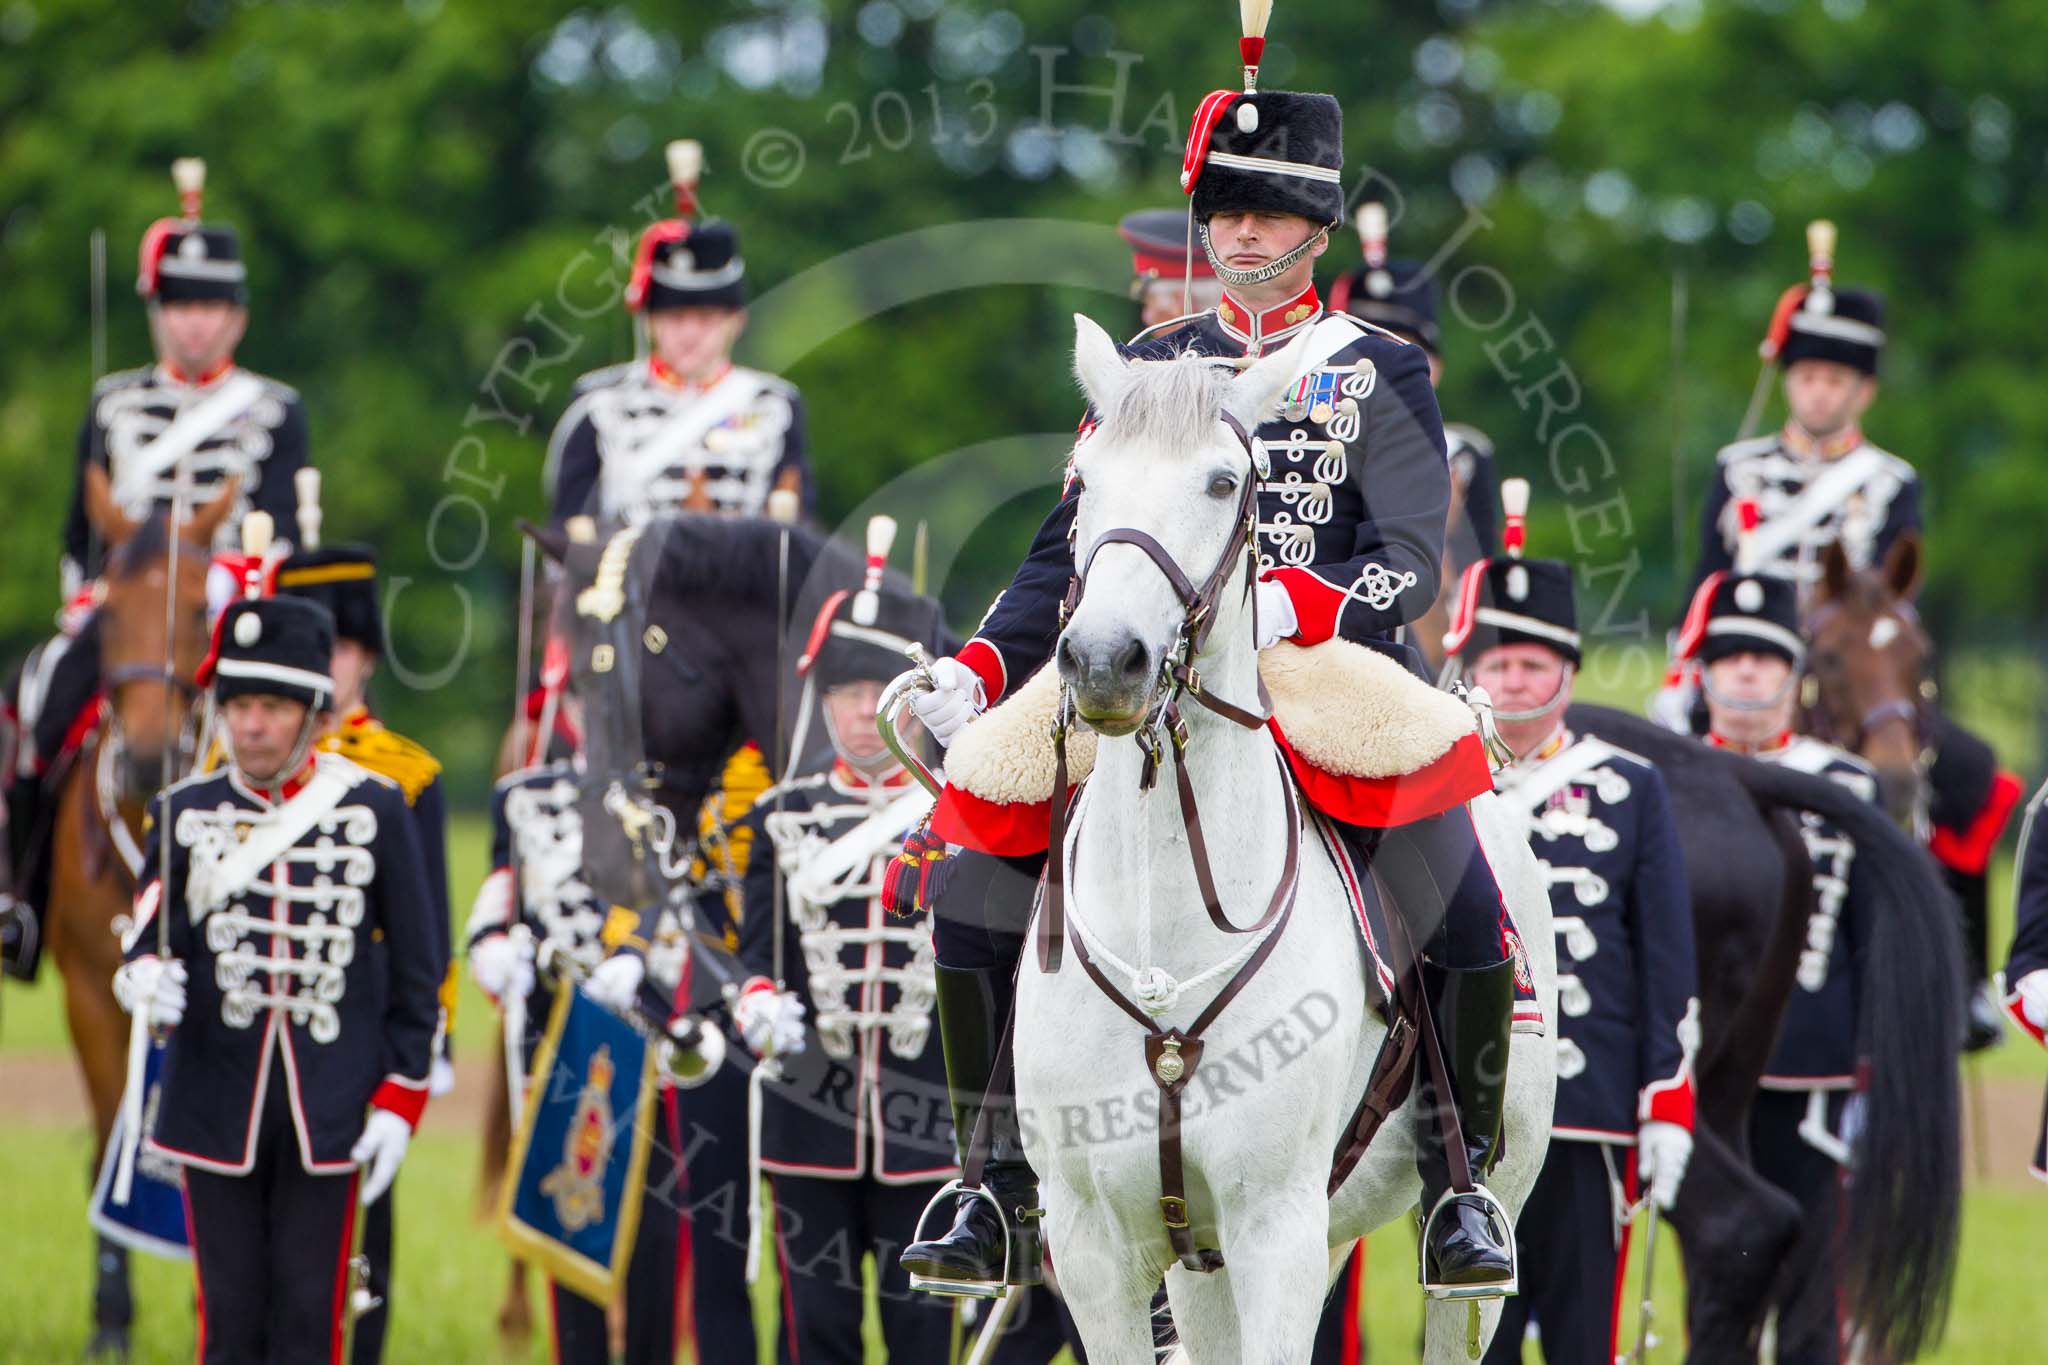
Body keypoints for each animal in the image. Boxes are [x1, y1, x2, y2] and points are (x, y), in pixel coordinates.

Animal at [1007, 317, 1548, 1365]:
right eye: (1083, 479)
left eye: (1225, 482)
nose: (1104, 661)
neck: (1167, 937)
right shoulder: (1098, 1248)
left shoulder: (1276, 1231)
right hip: (1215, 1256)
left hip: (1474, 1220)